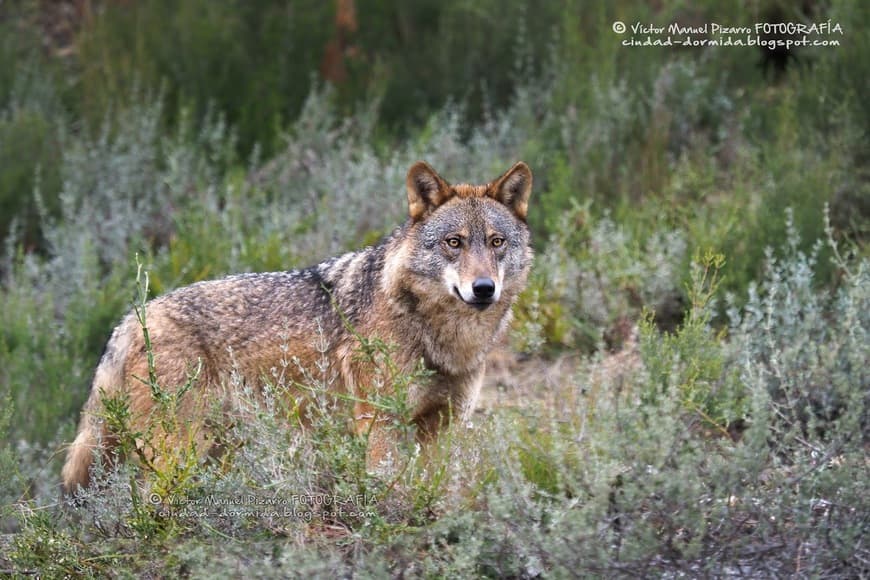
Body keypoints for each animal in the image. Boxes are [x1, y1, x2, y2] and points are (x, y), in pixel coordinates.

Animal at [61, 162, 536, 494]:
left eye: (497, 242)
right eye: (454, 243)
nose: (483, 288)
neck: (441, 337)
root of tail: (130, 319)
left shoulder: (441, 429)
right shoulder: (379, 424)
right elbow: (390, 489)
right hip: (180, 448)